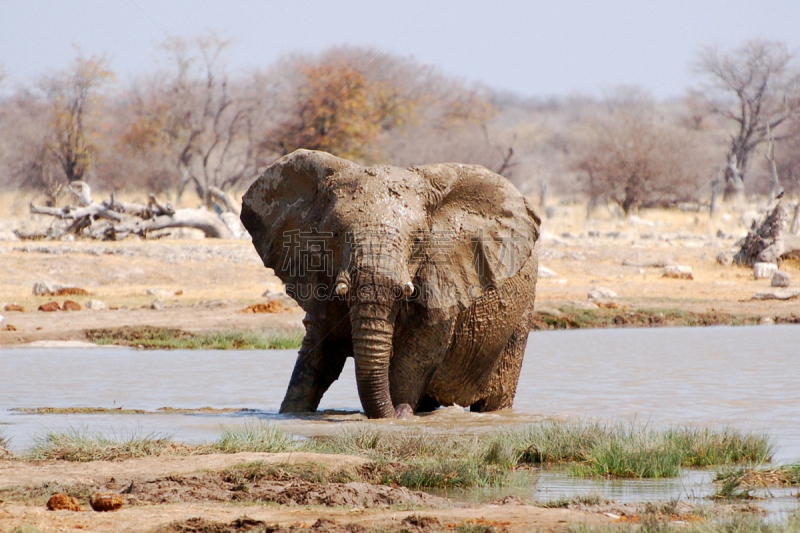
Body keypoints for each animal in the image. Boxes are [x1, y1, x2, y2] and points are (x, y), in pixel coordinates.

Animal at [238, 150, 536, 420]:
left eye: (418, 240)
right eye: (334, 233)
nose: (400, 411)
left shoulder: (442, 278)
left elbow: (416, 356)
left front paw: (395, 416)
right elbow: (319, 353)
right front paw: (292, 414)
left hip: (517, 324)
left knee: (496, 396)